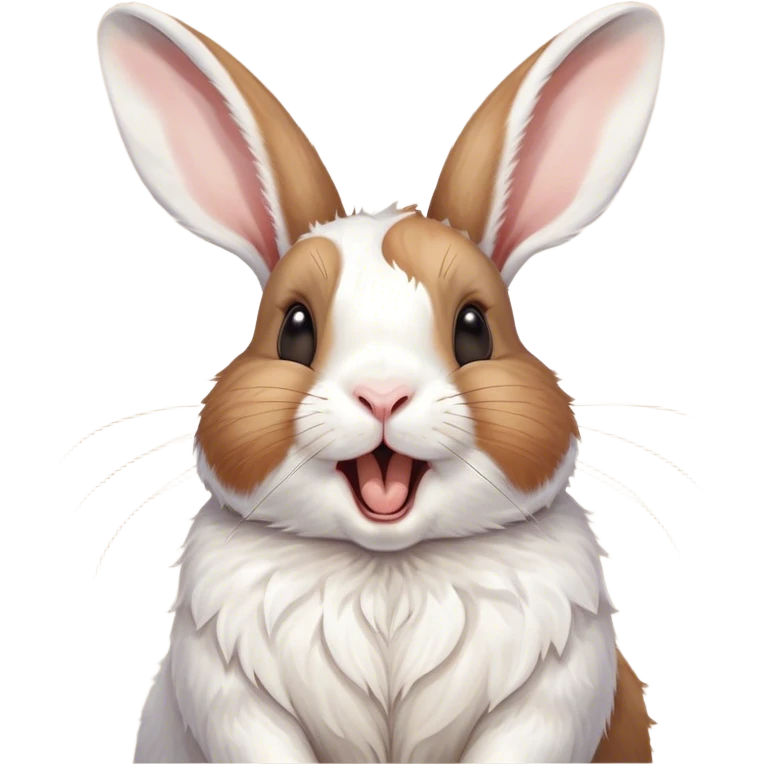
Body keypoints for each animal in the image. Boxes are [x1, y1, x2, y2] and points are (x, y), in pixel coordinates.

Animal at [95, 1, 666, 762]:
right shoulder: (230, 695)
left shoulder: (555, 693)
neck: (388, 571)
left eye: (475, 329)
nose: (383, 393)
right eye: (294, 329)